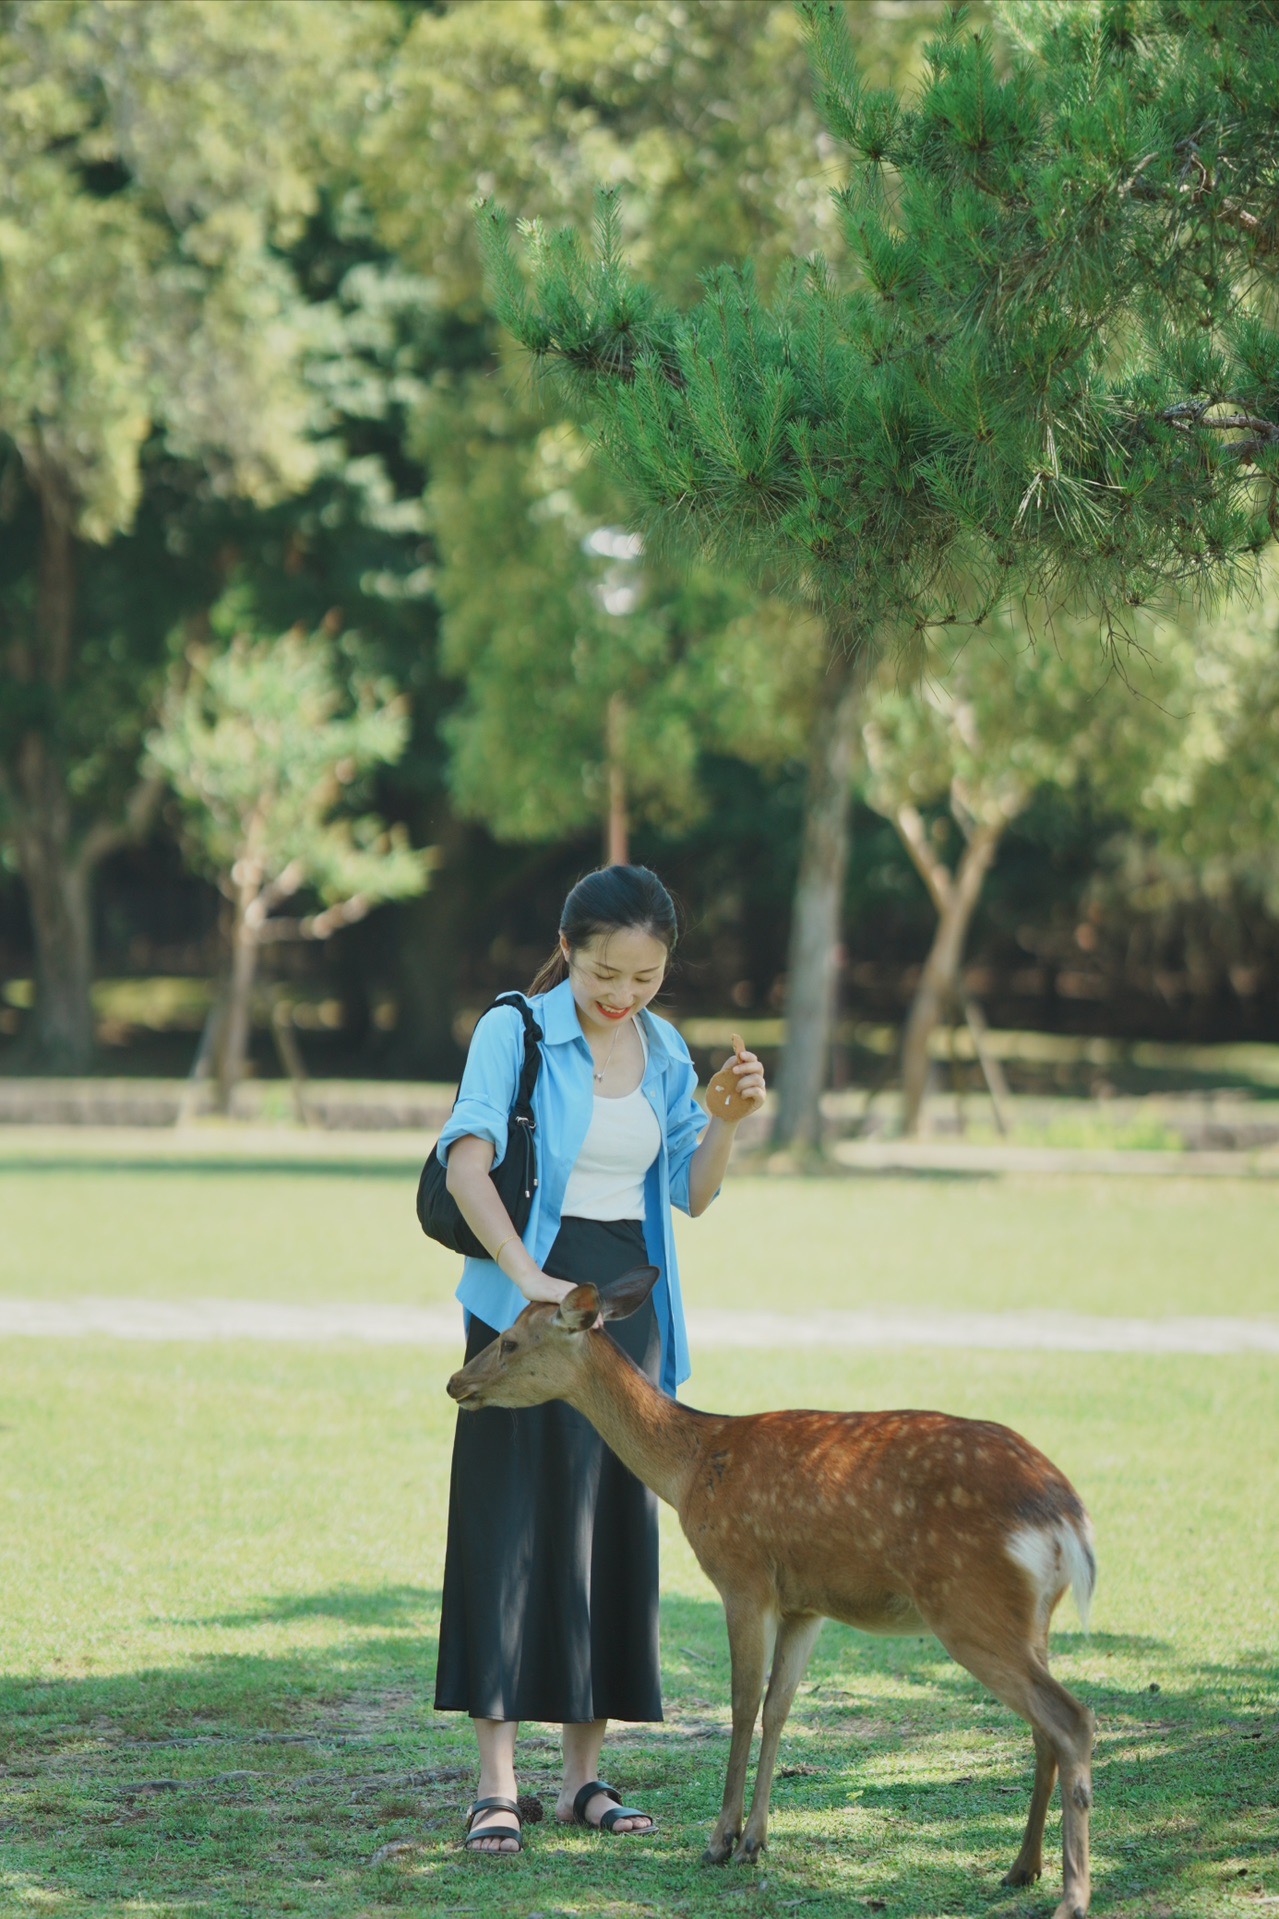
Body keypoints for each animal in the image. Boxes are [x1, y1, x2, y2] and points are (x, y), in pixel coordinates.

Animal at [443, 1266, 1090, 1911]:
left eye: (509, 1342)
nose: (454, 1382)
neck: (691, 1470)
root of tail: (1069, 1520)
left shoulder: (742, 1576)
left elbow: (742, 1702)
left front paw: (720, 1840)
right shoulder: (807, 1604)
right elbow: (779, 1706)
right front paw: (756, 1841)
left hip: (968, 1604)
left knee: (1071, 1719)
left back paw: (1071, 1895)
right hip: (1031, 1616)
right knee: (1044, 1729)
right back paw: (1021, 1869)